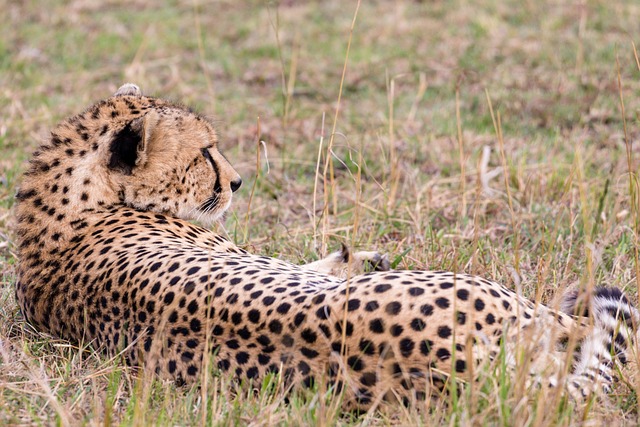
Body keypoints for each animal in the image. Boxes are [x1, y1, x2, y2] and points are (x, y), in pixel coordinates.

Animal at [12, 84, 636, 412]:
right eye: (205, 153)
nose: (237, 181)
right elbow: (302, 262)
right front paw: (353, 258)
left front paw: (353, 255)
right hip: (513, 301)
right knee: (598, 336)